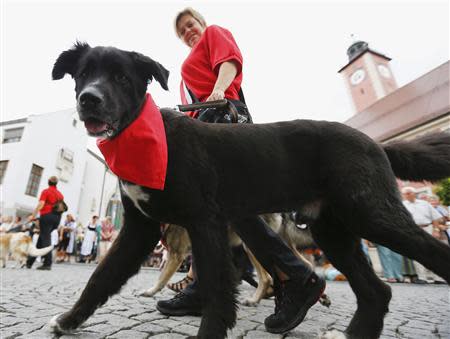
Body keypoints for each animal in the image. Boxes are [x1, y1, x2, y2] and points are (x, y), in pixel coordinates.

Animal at [49, 43, 450, 339]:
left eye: (120, 77)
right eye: (83, 74)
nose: (89, 99)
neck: (147, 138)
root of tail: (375, 142)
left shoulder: (204, 223)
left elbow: (217, 291)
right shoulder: (139, 229)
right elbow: (101, 278)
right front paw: (68, 320)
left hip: (372, 215)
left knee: (430, 256)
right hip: (334, 232)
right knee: (376, 291)